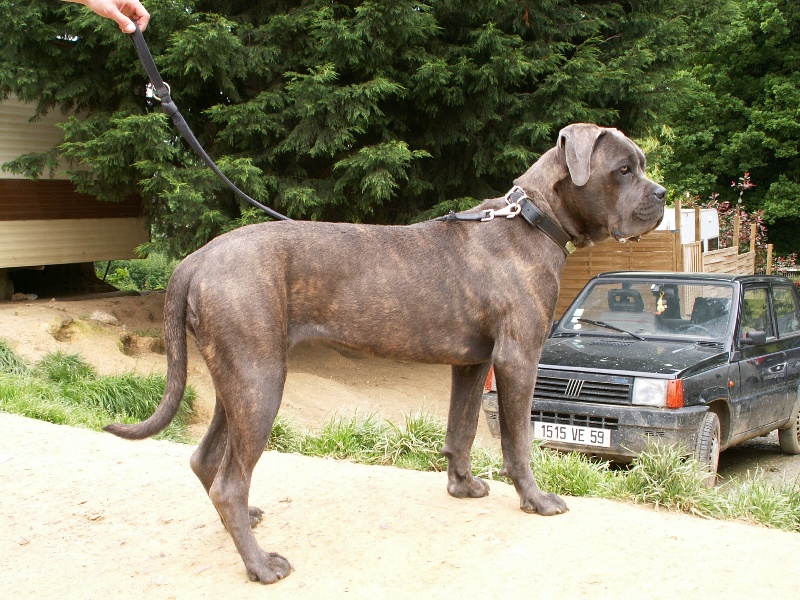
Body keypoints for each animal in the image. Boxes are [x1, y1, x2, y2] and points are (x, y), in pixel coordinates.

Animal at [108, 122, 668, 580]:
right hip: (259, 378)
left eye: (640, 165)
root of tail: (196, 258)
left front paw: (462, 487)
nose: (662, 193)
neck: (530, 217)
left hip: (237, 378)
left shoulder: (473, 362)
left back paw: (245, 522)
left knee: (209, 462)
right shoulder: (517, 358)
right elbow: (518, 441)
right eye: (624, 169)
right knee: (228, 480)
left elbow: (461, 429)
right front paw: (535, 500)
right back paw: (261, 566)